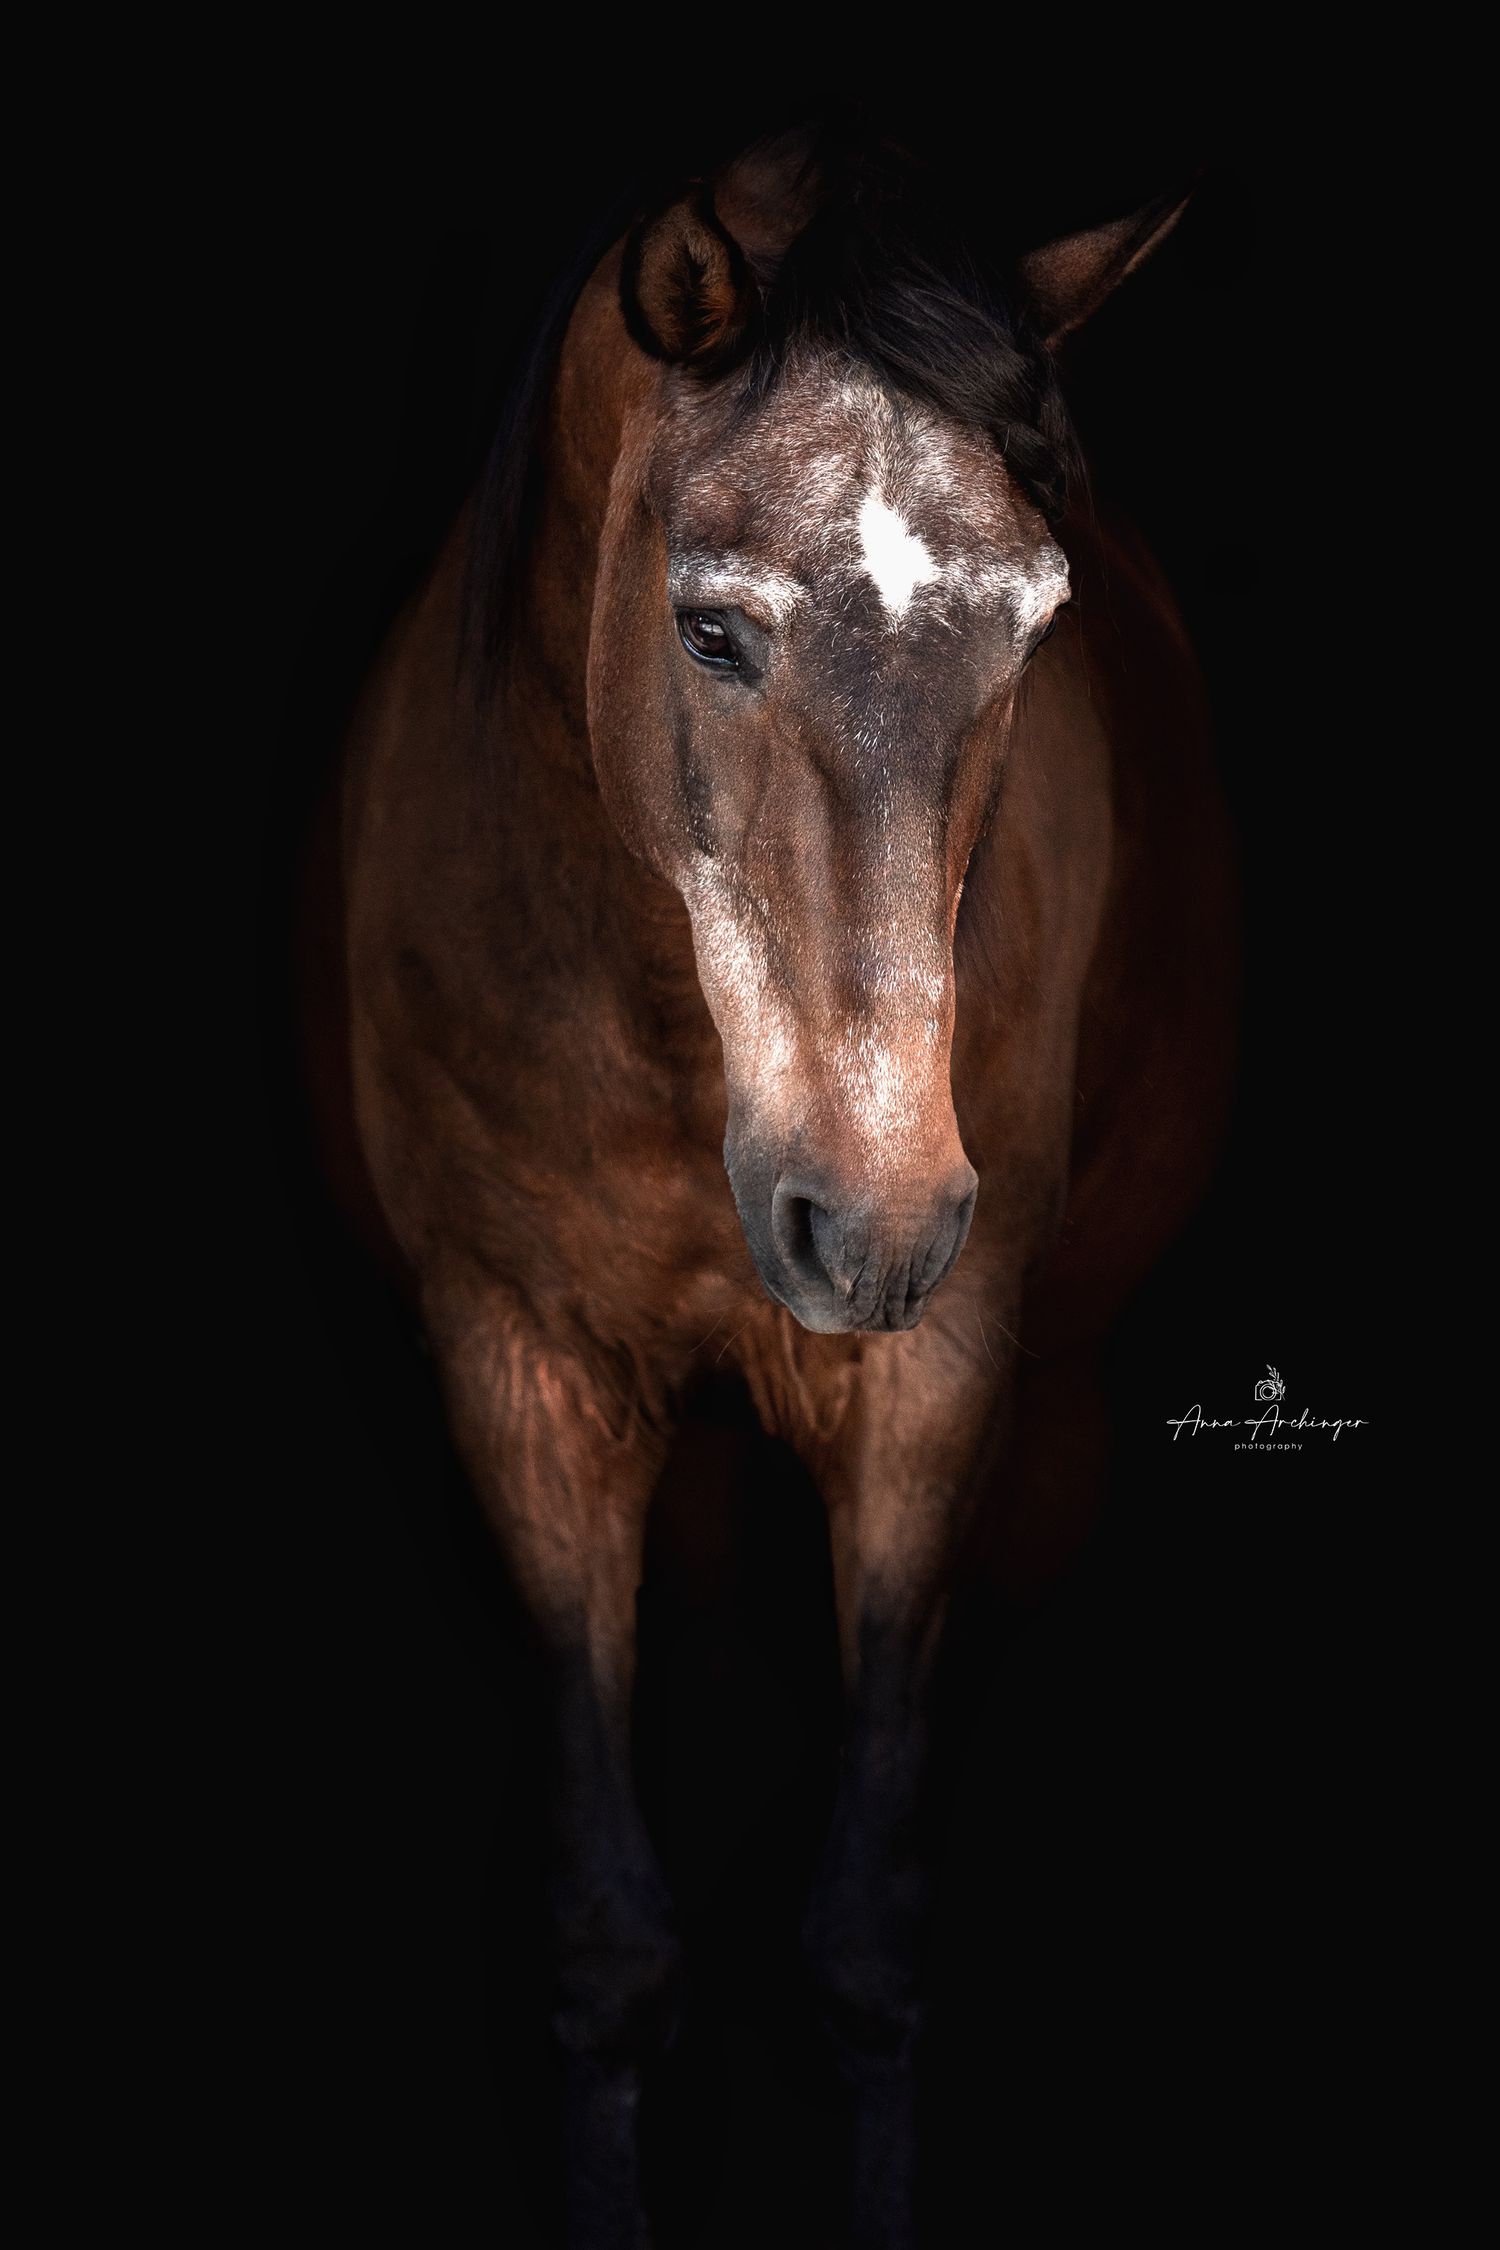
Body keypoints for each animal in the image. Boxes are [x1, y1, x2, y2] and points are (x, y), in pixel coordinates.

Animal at [312, 126, 1237, 2248]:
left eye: (1033, 629)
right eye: (712, 629)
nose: (874, 1222)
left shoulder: (932, 1393)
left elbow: (866, 1945)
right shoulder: (524, 1377)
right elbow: (609, 1944)